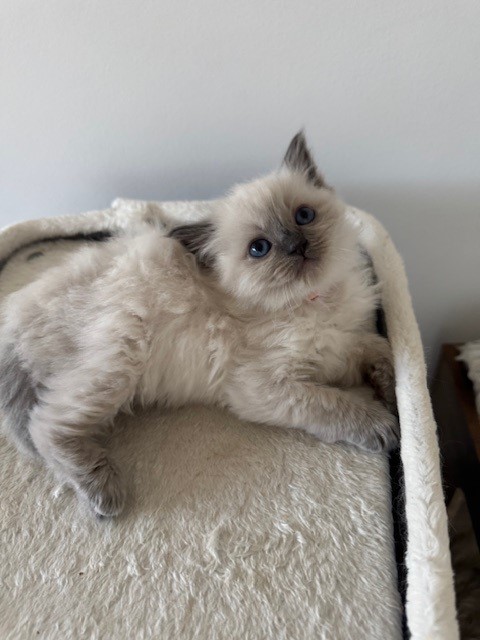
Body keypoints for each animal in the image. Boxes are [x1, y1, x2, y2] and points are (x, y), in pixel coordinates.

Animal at [0, 132, 398, 516]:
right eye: (260, 248)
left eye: (303, 216)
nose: (296, 245)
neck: (314, 301)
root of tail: (16, 314)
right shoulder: (264, 388)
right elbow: (334, 404)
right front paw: (384, 426)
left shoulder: (339, 346)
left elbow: (380, 351)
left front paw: (393, 393)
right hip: (119, 361)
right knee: (45, 425)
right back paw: (104, 495)